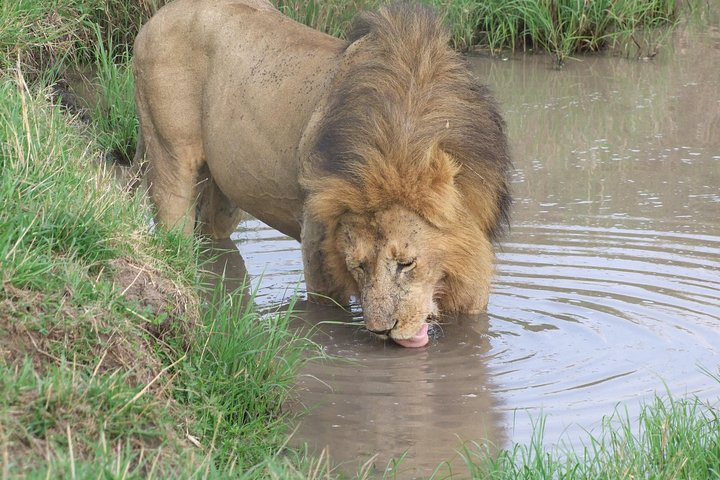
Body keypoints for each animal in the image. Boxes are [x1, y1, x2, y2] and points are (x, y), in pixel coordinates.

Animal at [132, 0, 510, 346]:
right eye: (358, 265)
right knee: (173, 232)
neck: (403, 131)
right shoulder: (318, 245)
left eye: (406, 263)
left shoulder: (473, 245)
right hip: (169, 156)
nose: (384, 331)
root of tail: (159, 16)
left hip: (224, 196)